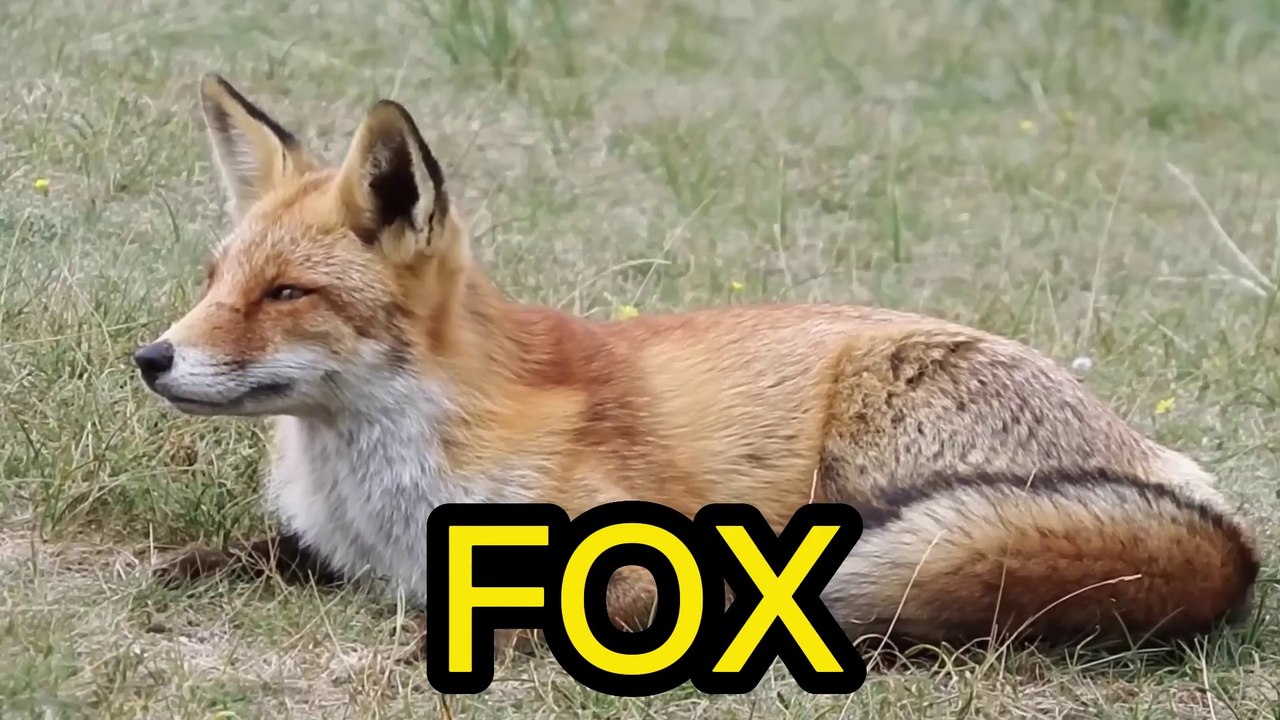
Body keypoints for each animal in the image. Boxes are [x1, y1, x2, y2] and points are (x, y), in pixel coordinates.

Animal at [135, 72, 1260, 666]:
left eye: (286, 295)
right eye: (217, 280)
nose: (151, 358)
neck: (384, 490)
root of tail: (1224, 532)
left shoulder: (632, 559)